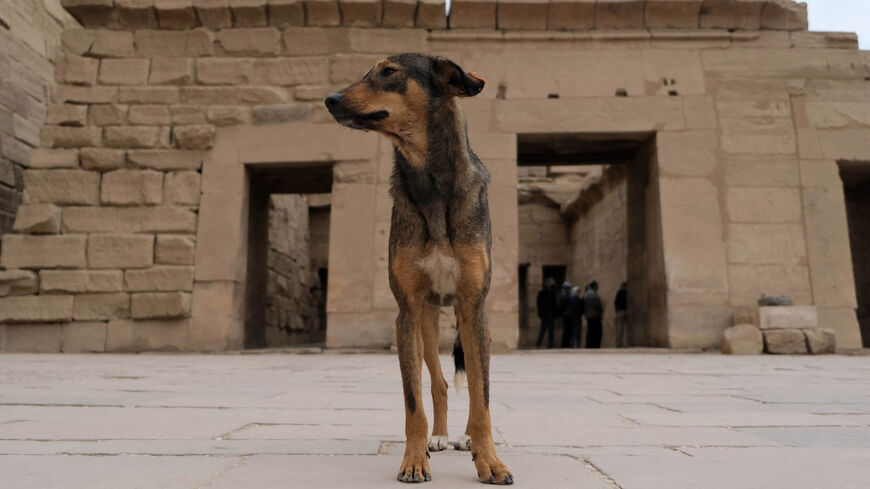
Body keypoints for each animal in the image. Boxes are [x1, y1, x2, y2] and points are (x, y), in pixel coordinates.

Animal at [328, 54, 516, 484]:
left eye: (389, 72)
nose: (331, 99)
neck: (430, 183)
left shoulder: (474, 306)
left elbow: (482, 397)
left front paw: (489, 460)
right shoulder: (408, 311)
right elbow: (414, 399)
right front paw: (414, 460)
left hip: (465, 318)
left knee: (472, 385)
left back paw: (466, 437)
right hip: (428, 323)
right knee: (440, 382)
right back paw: (441, 436)